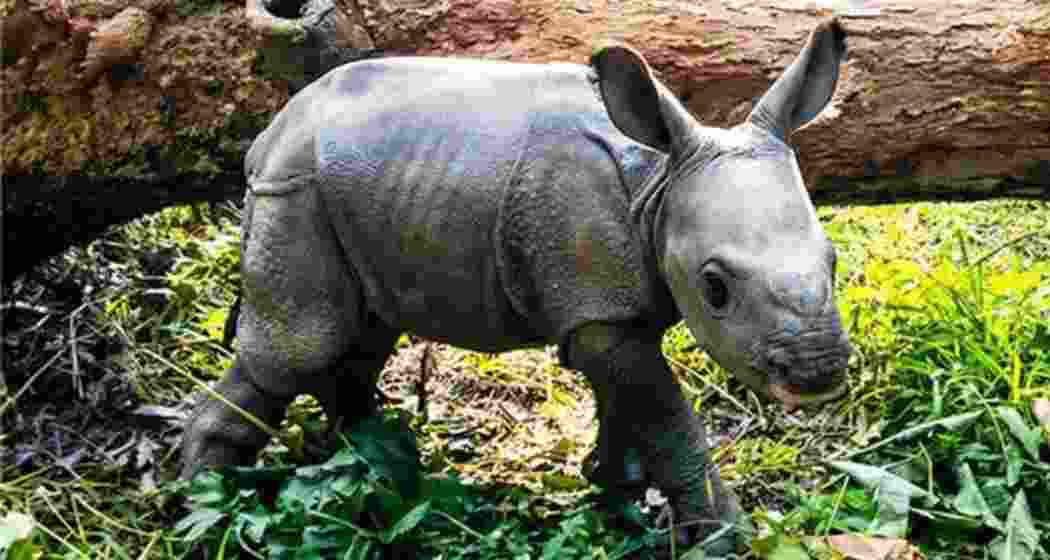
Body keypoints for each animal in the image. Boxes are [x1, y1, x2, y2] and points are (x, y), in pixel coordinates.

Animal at [183, 20, 853, 553]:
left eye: (834, 262)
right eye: (714, 289)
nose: (818, 372)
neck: (660, 182)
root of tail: (269, 135)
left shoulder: (610, 310)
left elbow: (632, 406)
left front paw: (615, 491)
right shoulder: (601, 311)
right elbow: (669, 422)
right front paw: (724, 539)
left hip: (352, 194)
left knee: (363, 337)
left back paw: (379, 474)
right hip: (292, 192)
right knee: (296, 350)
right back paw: (201, 506)